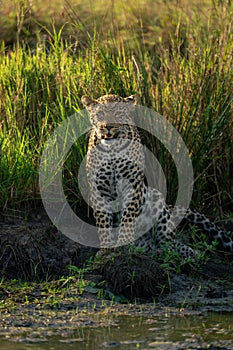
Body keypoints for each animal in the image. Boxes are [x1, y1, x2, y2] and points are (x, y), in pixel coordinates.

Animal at [81, 92, 232, 258]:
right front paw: (106, 249)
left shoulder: (132, 184)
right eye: (100, 114)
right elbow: (103, 222)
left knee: (168, 242)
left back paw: (192, 254)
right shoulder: (98, 188)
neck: (112, 150)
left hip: (157, 199)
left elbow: (127, 218)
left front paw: (123, 243)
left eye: (118, 114)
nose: (107, 127)